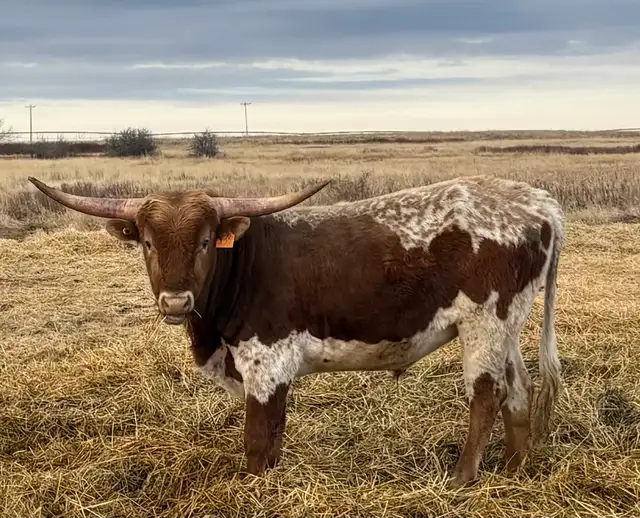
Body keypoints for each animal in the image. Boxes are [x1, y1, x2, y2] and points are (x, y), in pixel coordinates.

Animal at [28, 174, 564, 488]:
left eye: (204, 241)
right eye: (147, 243)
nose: (176, 302)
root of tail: (539, 201)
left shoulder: (266, 364)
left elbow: (256, 441)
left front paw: (254, 490)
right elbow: (274, 437)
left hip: (484, 323)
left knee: (488, 396)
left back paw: (462, 478)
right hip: (506, 327)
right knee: (519, 390)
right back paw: (514, 470)